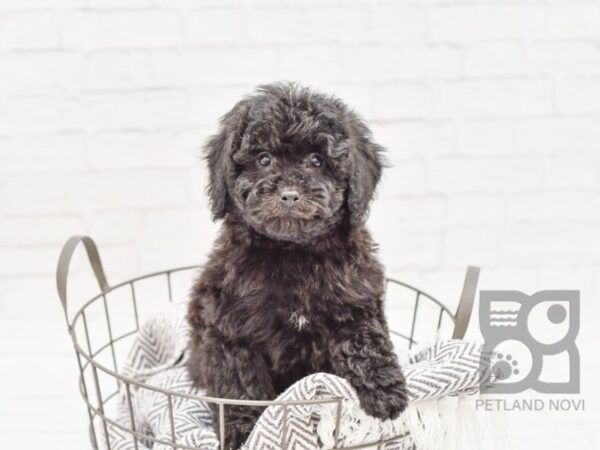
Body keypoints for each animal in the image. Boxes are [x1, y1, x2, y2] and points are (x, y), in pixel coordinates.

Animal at [189, 83, 408, 446]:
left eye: (316, 161)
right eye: (263, 159)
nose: (289, 194)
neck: (292, 251)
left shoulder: (355, 296)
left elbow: (364, 339)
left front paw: (384, 390)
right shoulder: (231, 328)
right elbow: (240, 385)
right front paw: (243, 430)